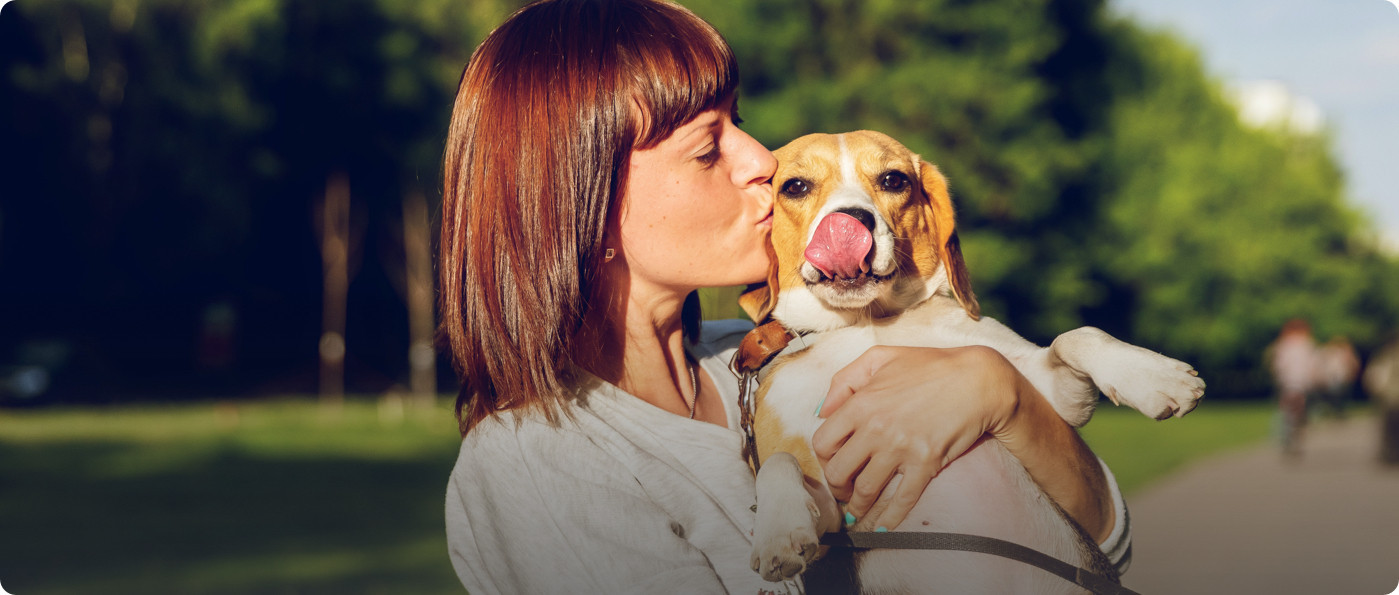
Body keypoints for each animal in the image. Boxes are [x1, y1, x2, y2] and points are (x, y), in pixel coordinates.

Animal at [737, 131, 1205, 593]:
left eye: (893, 180)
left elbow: (1076, 336)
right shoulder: (834, 518)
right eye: (795, 187)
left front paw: (1154, 376)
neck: (865, 324)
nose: (851, 222)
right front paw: (778, 533)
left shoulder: (1054, 392)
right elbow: (778, 464)